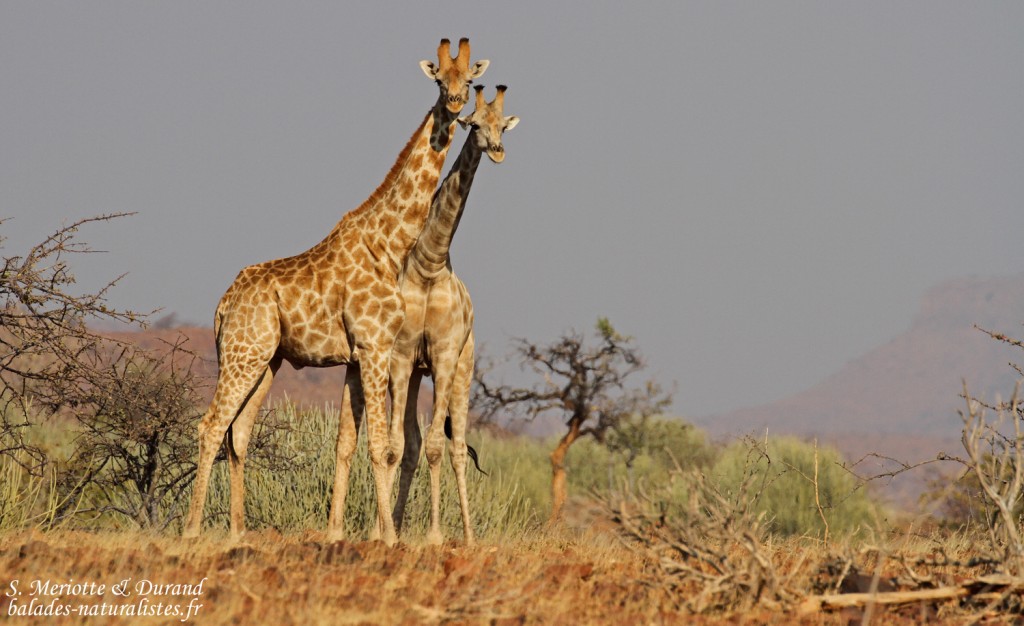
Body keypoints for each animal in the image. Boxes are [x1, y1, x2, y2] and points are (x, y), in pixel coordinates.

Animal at [182, 38, 488, 547]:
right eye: (439, 80)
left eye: (468, 79)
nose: (456, 103)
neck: (390, 243)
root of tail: (222, 306)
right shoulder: (376, 347)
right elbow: (381, 445)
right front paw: (388, 538)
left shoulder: (360, 354)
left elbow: (356, 443)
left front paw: (354, 533)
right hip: (244, 354)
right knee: (210, 426)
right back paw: (191, 532)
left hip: (265, 359)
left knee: (237, 432)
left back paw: (238, 534)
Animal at [386, 85, 518, 545]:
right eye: (474, 124)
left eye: (502, 125)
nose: (497, 151)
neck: (429, 264)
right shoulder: (402, 357)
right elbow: (398, 446)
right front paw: (387, 530)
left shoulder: (444, 357)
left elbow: (436, 447)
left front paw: (435, 536)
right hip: (417, 372)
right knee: (411, 445)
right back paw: (399, 524)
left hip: (464, 370)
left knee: (458, 447)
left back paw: (469, 535)